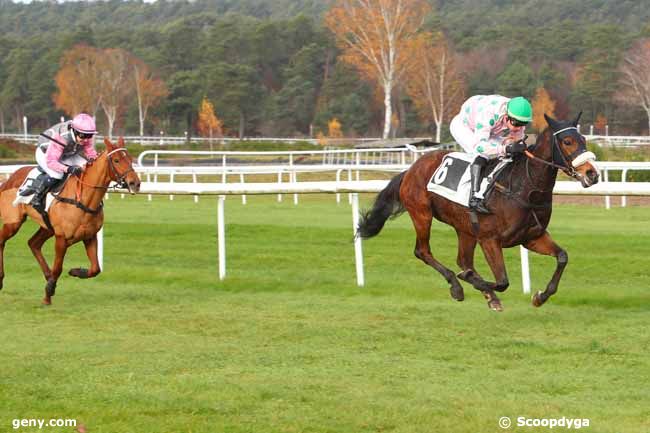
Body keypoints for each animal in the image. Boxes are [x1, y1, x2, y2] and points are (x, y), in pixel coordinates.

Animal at [0, 136, 140, 304]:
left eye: (130, 159)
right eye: (117, 160)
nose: (135, 183)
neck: (83, 200)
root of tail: (10, 178)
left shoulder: (89, 236)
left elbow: (95, 269)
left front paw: (75, 271)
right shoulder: (61, 238)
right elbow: (58, 268)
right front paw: (47, 295)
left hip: (47, 227)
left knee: (33, 243)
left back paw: (47, 276)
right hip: (13, 222)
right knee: (2, 241)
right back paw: (2, 279)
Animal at [360, 114, 596, 310]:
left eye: (583, 139)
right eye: (567, 141)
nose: (592, 174)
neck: (525, 189)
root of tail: (411, 169)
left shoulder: (532, 237)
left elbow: (562, 257)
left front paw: (540, 296)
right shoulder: (489, 239)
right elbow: (502, 282)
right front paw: (475, 283)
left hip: (465, 228)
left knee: (463, 260)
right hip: (421, 213)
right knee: (423, 251)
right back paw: (457, 286)